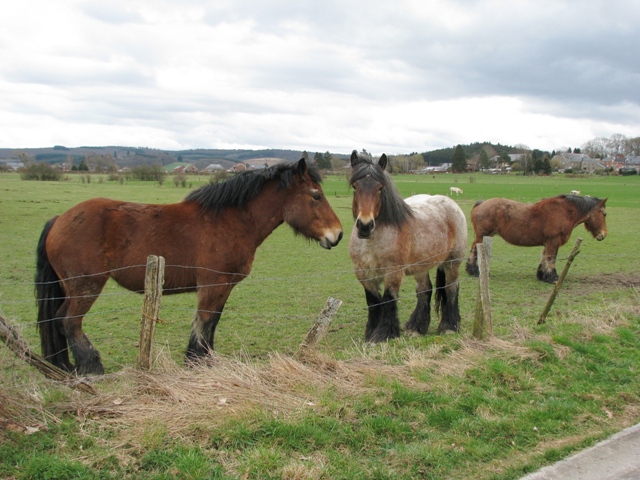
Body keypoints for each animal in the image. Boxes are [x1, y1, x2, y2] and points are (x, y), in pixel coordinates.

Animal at [33, 159, 344, 374]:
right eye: (316, 195)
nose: (338, 235)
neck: (230, 221)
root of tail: (60, 219)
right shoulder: (212, 285)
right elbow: (204, 323)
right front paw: (197, 361)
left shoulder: (223, 287)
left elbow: (212, 323)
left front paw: (205, 359)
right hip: (86, 287)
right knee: (68, 321)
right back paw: (91, 366)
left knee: (57, 321)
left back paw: (65, 365)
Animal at [348, 150, 468, 342]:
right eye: (355, 186)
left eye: (380, 187)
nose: (365, 226)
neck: (372, 241)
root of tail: (451, 203)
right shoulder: (363, 273)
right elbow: (373, 301)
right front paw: (370, 332)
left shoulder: (393, 272)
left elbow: (389, 299)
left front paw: (383, 333)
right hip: (421, 266)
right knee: (425, 290)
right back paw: (416, 327)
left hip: (453, 262)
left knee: (451, 288)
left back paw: (449, 326)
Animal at [464, 195, 604, 284]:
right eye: (604, 214)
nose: (603, 235)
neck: (563, 212)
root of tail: (481, 203)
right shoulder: (554, 242)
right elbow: (551, 259)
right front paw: (553, 278)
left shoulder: (548, 243)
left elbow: (544, 258)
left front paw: (542, 275)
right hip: (482, 236)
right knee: (476, 251)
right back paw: (477, 271)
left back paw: (472, 270)